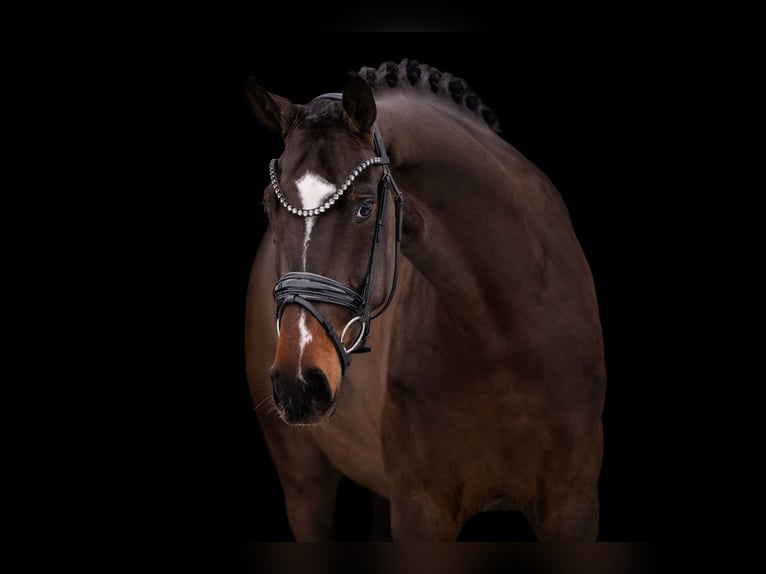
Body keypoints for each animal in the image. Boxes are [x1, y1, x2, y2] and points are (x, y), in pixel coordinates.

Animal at [244, 59, 606, 541]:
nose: (297, 382)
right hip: (304, 480)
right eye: (269, 207)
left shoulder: (574, 504)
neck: (505, 336)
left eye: (364, 208)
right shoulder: (421, 510)